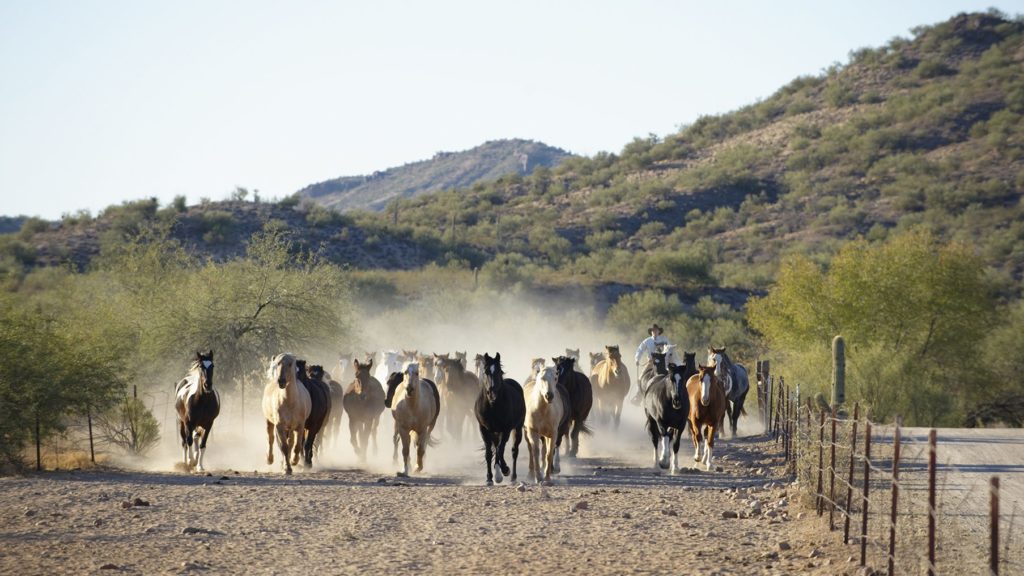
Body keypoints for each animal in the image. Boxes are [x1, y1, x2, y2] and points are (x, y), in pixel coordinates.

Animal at [475, 352, 528, 481]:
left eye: (499, 371)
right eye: (486, 371)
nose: (492, 394)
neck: (493, 406)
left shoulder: (506, 430)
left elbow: (500, 449)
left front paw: (505, 470)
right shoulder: (484, 429)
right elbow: (489, 453)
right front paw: (489, 478)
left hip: (517, 429)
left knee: (514, 451)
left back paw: (512, 476)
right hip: (494, 431)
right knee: (496, 447)